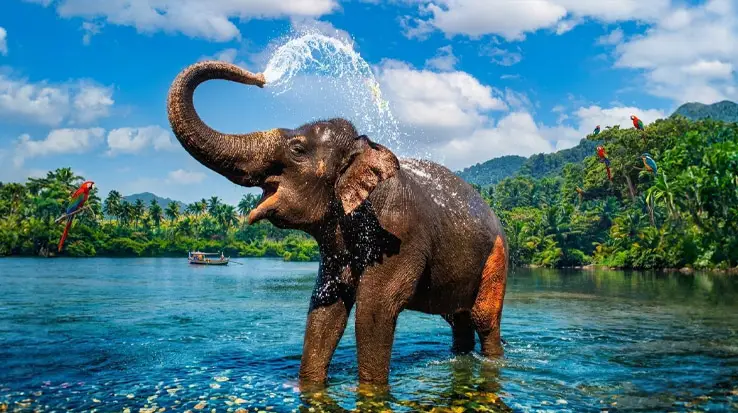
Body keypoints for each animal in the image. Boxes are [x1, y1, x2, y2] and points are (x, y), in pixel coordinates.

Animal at [166, 61, 509, 386]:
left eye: (297, 150)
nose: (261, 77)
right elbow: (325, 308)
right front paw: (308, 384)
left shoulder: (399, 232)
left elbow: (375, 310)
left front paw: (370, 390)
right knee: (458, 318)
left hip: (498, 257)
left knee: (483, 319)